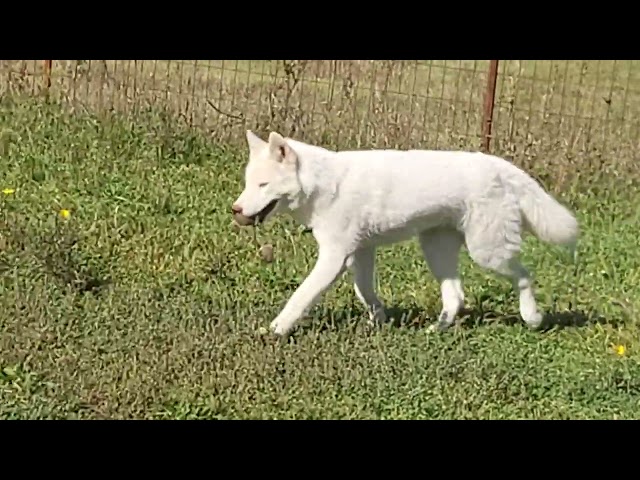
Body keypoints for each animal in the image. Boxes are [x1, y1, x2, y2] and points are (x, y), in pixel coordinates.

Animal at [231, 129, 580, 336]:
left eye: (263, 184)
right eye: (249, 183)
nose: (236, 210)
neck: (324, 184)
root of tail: (501, 168)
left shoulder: (335, 256)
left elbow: (301, 296)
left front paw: (277, 328)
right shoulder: (360, 252)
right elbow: (365, 291)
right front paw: (380, 321)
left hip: (488, 252)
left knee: (524, 275)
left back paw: (532, 317)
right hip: (437, 250)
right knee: (456, 296)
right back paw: (436, 330)